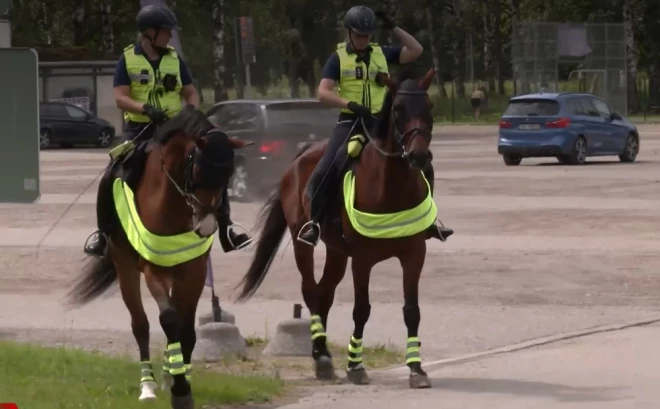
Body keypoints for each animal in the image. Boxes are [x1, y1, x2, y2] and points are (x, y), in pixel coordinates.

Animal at [68, 106, 251, 408]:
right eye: (197, 170)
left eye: (228, 175)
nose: (206, 227)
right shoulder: (153, 270)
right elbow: (167, 319)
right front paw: (179, 389)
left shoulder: (194, 270)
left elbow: (186, 328)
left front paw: (180, 380)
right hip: (126, 268)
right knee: (140, 324)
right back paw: (149, 386)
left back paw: (167, 374)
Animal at [236, 68, 438, 388]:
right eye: (397, 109)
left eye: (429, 107)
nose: (419, 156)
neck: (391, 188)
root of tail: (299, 157)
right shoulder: (363, 260)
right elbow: (361, 310)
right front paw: (355, 366)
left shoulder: (414, 255)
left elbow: (411, 311)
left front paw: (416, 369)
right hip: (303, 243)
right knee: (310, 291)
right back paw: (322, 358)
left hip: (337, 252)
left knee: (324, 294)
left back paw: (322, 354)